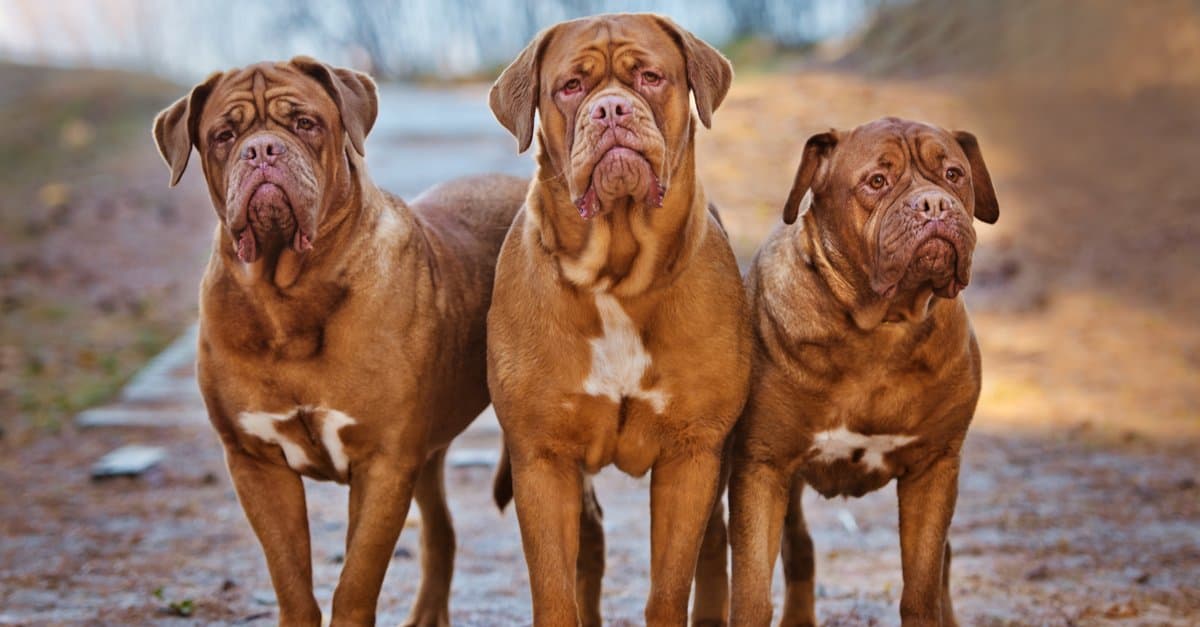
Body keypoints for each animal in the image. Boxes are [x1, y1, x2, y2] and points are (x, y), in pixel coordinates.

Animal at [151, 57, 525, 619]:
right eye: (224, 135)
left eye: (305, 123)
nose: (262, 150)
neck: (286, 293)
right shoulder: (255, 461)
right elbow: (290, 578)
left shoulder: (384, 462)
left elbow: (356, 581)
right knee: (441, 532)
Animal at [487, 12, 748, 619]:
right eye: (570, 87)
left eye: (650, 77)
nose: (610, 109)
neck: (616, 277)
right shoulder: (543, 459)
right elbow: (554, 589)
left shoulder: (692, 453)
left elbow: (671, 586)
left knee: (714, 542)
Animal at [724, 118, 998, 624]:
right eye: (876, 181)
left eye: (954, 174)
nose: (934, 204)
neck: (881, 327)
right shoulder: (762, 466)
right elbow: (750, 590)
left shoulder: (933, 469)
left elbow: (923, 587)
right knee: (799, 548)